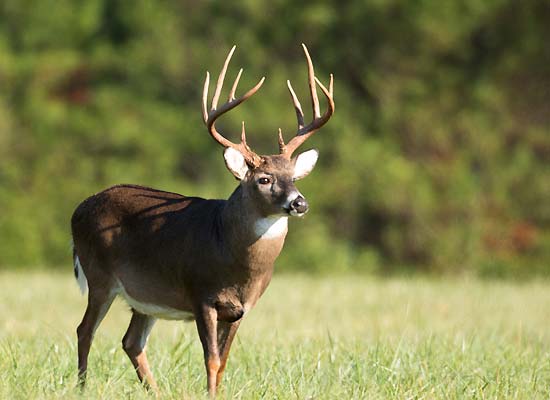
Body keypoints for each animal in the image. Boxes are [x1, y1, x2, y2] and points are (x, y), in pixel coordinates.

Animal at [70, 44, 334, 396]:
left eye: (294, 178)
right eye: (264, 179)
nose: (299, 202)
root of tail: (78, 209)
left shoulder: (240, 310)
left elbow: (222, 363)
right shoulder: (201, 295)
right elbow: (210, 359)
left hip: (145, 295)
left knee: (131, 342)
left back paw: (156, 393)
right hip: (99, 275)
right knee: (85, 330)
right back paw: (82, 388)